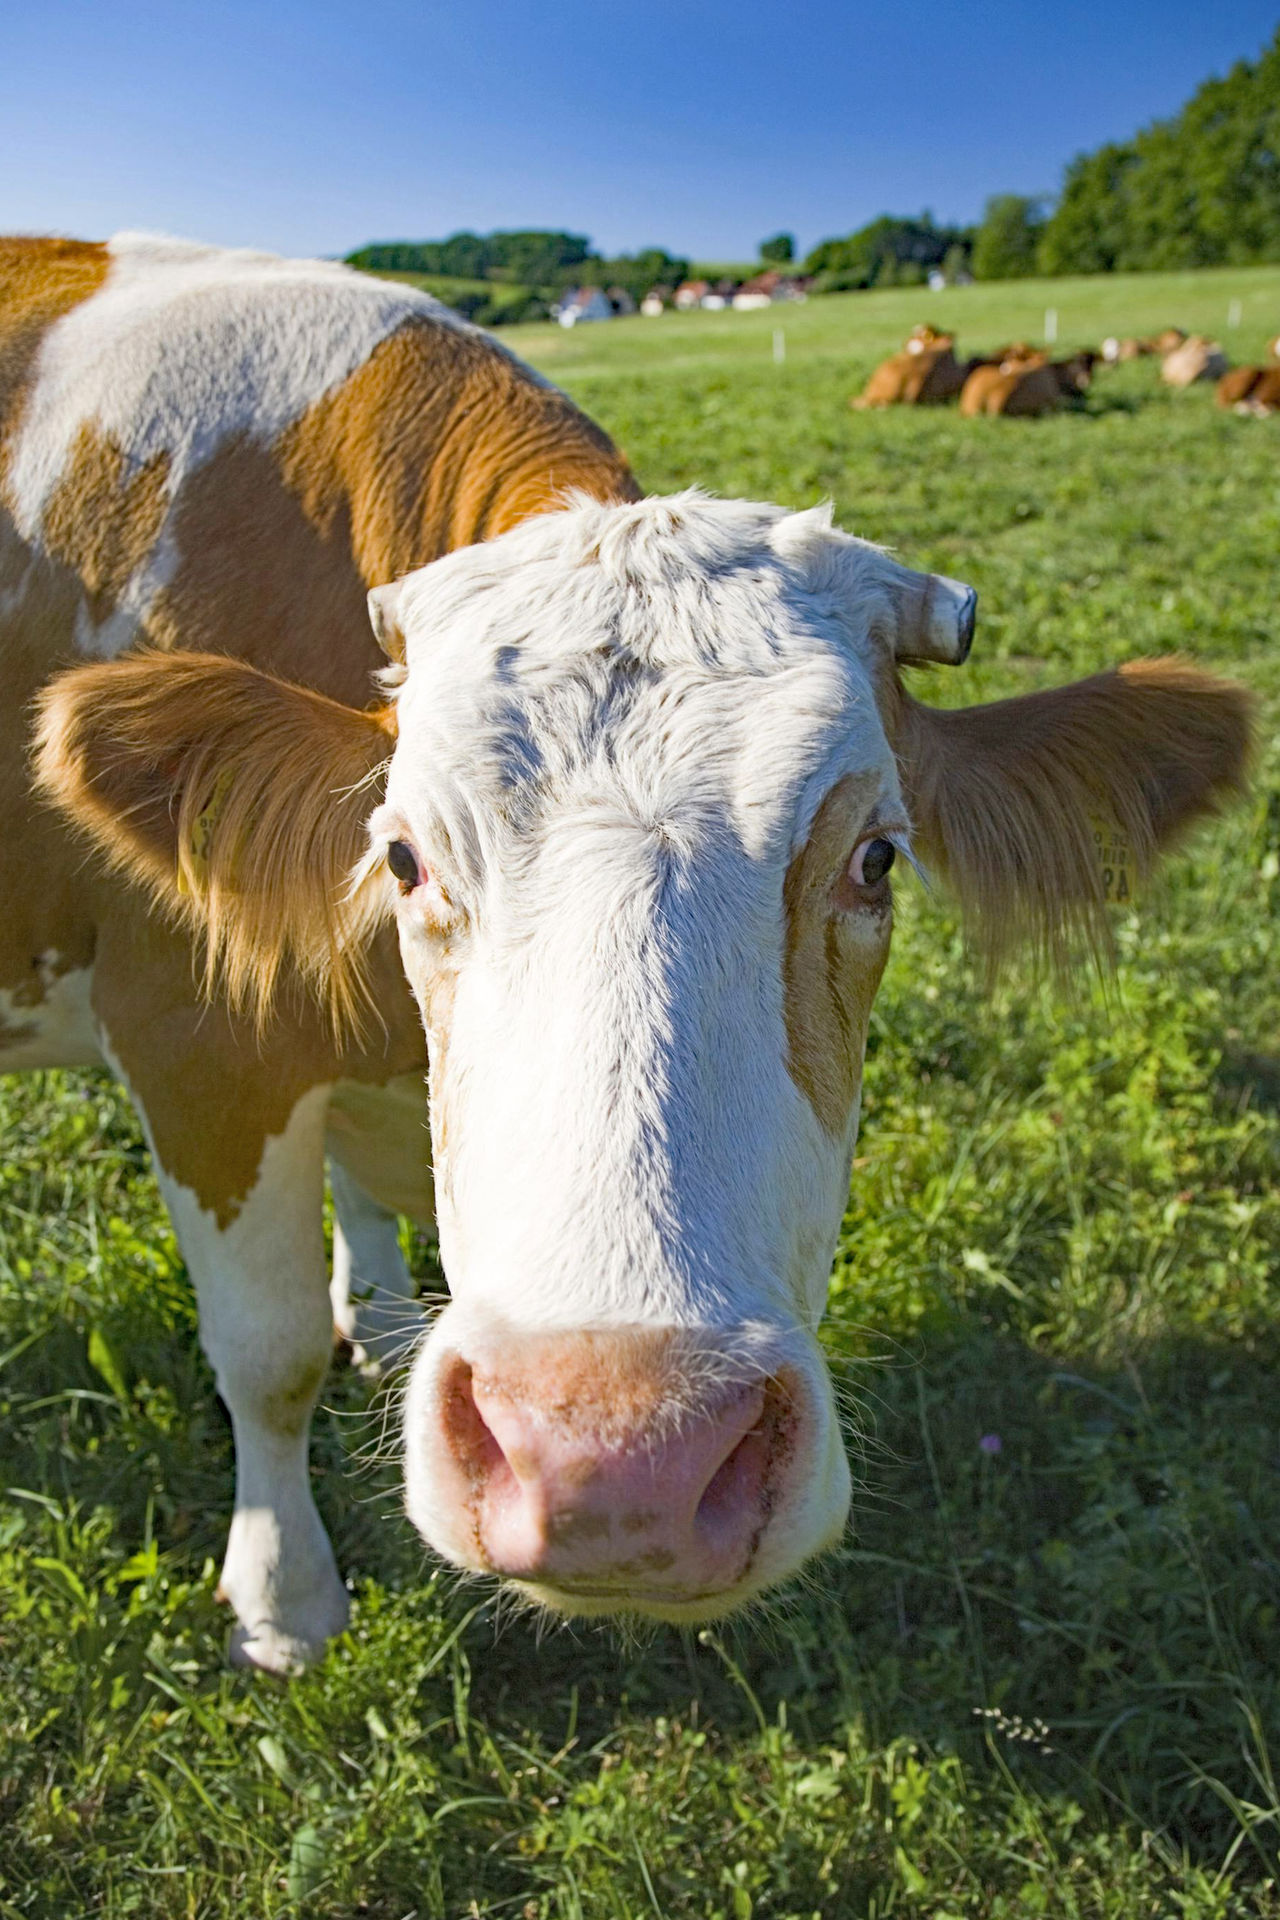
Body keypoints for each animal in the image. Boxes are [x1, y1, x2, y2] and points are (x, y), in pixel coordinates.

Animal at [5, 232, 1258, 1674]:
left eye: (877, 858)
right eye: (403, 856)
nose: (619, 1462)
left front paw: (379, 1312)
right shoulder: (194, 1037)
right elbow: (267, 1355)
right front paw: (285, 1605)